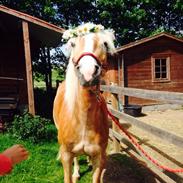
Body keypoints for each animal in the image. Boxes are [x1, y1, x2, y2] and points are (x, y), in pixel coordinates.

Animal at [53, 23, 116, 183]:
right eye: (73, 44)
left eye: (104, 44)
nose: (88, 73)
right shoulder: (66, 155)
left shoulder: (100, 157)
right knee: (76, 159)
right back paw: (77, 172)